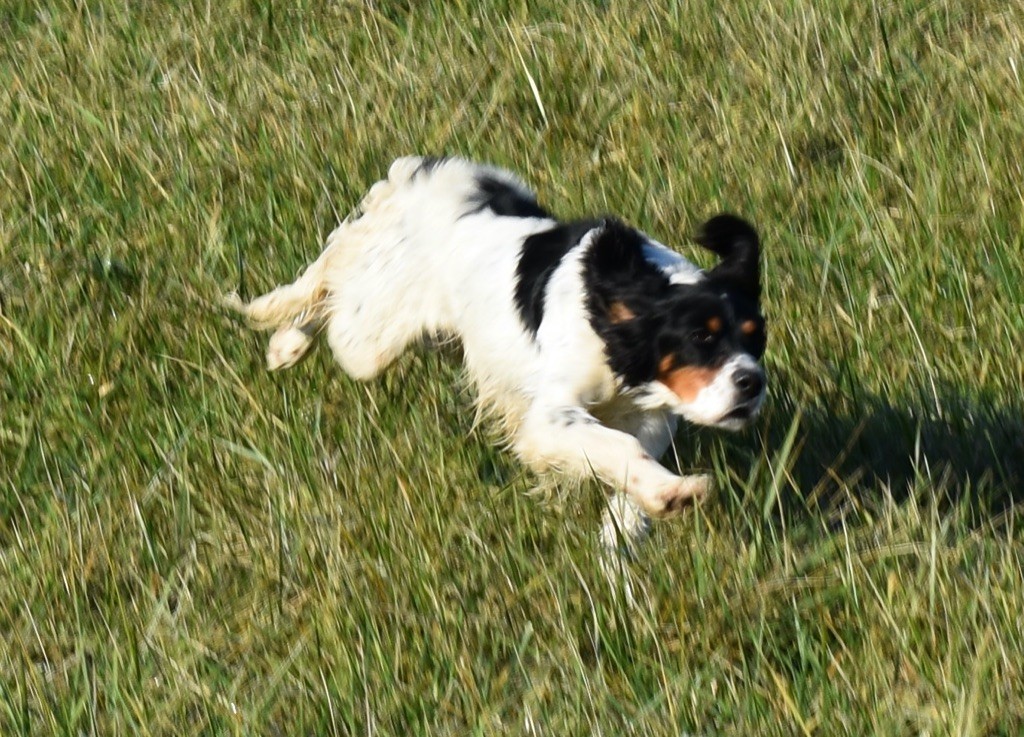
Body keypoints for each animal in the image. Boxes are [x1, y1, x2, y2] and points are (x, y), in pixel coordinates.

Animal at [228, 158, 765, 556]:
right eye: (699, 337)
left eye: (756, 338)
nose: (752, 383)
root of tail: (421, 176)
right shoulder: (552, 415)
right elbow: (617, 447)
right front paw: (672, 494)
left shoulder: (651, 415)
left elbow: (632, 462)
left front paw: (630, 526)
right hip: (368, 335)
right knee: (332, 284)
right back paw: (287, 340)